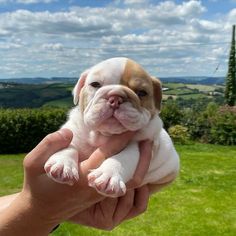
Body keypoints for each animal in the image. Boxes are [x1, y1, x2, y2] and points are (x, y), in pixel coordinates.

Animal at [44, 57, 180, 197]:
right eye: (95, 84)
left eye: (142, 93)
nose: (116, 98)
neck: (104, 134)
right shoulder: (74, 131)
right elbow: (70, 145)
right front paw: (62, 163)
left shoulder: (141, 144)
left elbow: (124, 157)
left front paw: (109, 175)